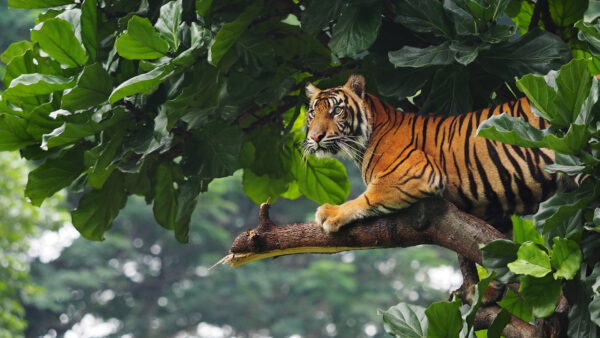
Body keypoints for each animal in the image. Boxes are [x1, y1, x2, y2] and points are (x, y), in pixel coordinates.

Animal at [304, 73, 564, 232]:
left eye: (337, 111)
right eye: (312, 113)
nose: (315, 137)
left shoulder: (413, 173)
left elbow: (366, 197)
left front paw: (331, 213)